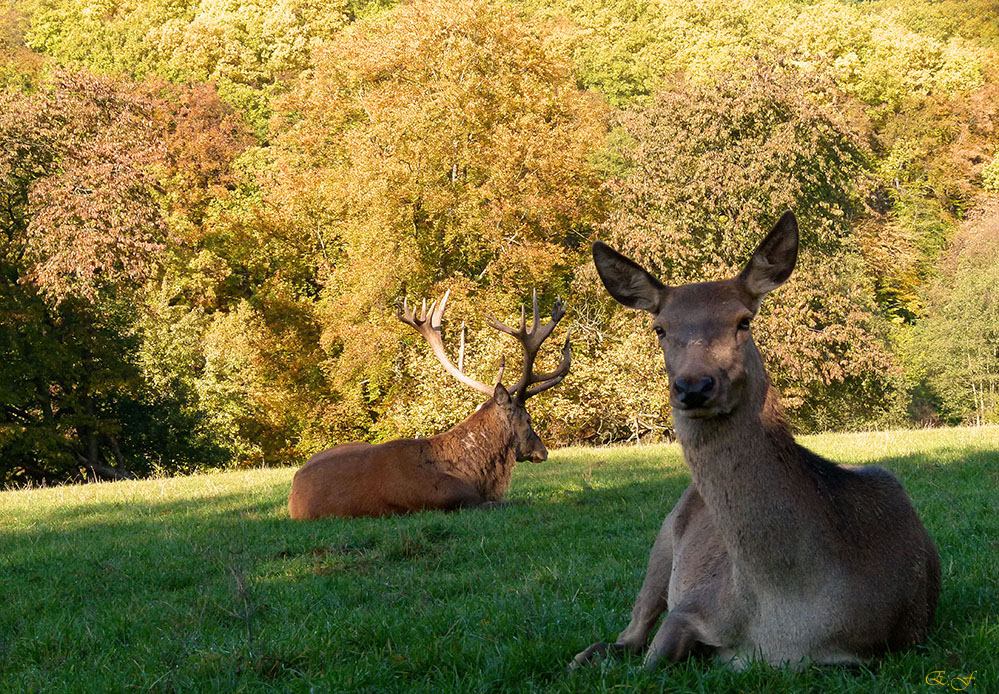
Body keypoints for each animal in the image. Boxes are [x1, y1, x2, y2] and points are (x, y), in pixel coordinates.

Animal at [288, 290, 572, 520]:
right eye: (528, 419)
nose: (543, 451)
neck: (474, 474)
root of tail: (292, 494)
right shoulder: (452, 502)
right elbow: (521, 501)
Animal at [576, 212, 940, 676]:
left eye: (743, 321)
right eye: (660, 328)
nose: (694, 387)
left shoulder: (883, 649)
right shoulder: (694, 607)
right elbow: (649, 662)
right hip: (663, 539)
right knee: (630, 633)